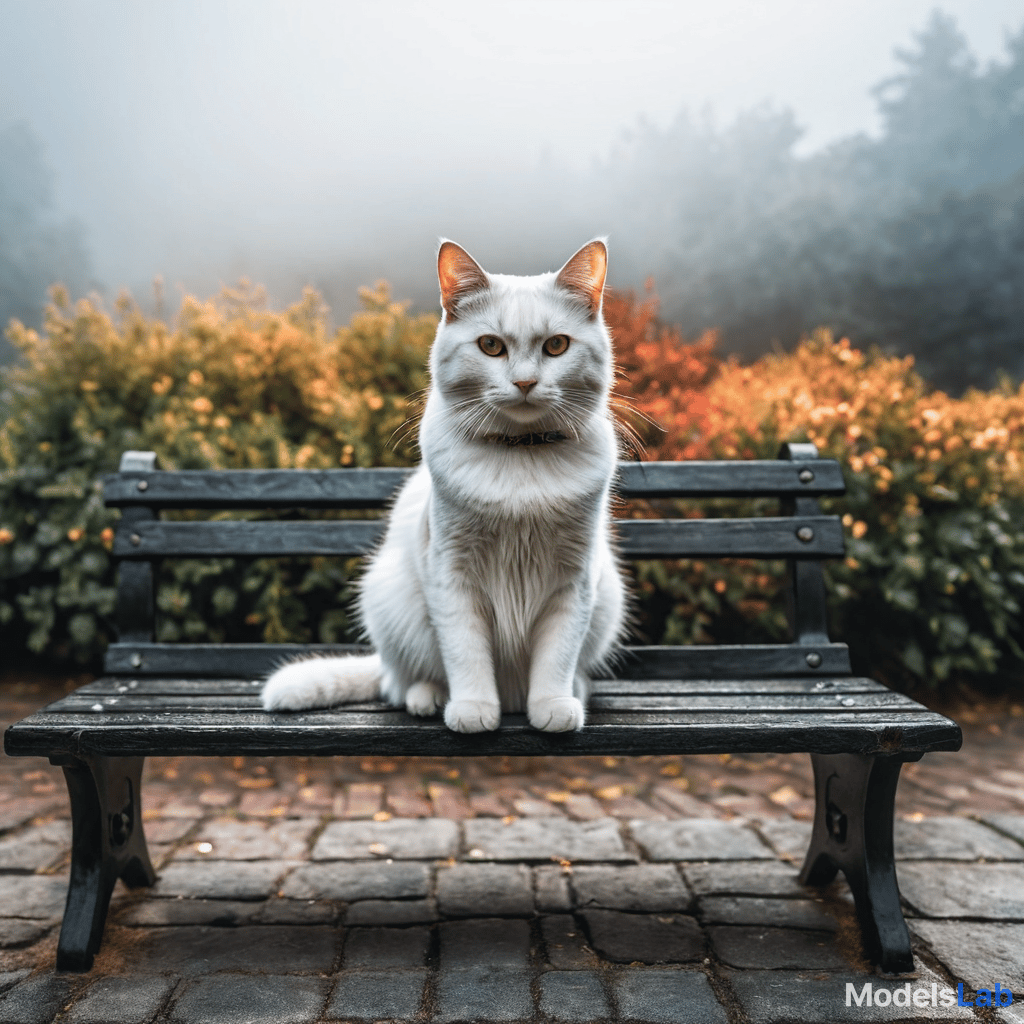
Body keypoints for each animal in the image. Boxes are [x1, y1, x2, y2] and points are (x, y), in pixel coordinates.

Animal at [260, 240, 626, 733]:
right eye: (490, 346)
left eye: (556, 345)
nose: (525, 382)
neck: (520, 458)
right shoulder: (452, 575)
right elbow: (464, 651)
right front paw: (473, 708)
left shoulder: (575, 581)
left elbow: (559, 653)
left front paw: (551, 705)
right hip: (392, 598)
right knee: (400, 681)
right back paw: (428, 697)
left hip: (607, 599)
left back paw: (575, 693)